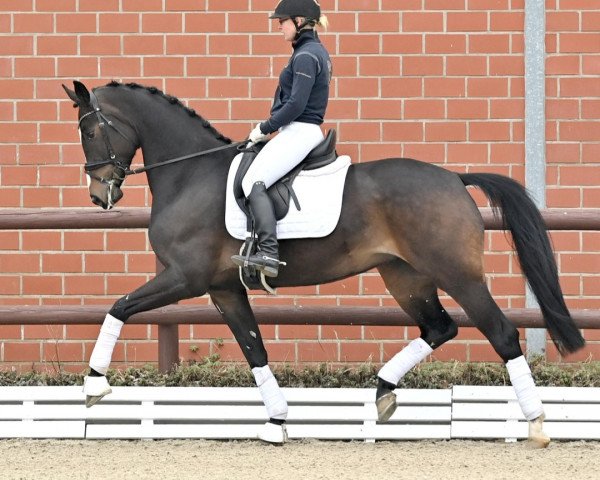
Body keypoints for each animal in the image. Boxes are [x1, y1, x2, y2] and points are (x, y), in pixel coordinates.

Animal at [63, 79, 584, 446]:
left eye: (88, 129)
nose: (99, 195)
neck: (190, 173)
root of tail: (455, 178)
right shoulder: (223, 287)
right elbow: (254, 350)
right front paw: (276, 422)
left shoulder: (184, 279)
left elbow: (119, 307)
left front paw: (93, 386)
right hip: (405, 276)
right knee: (439, 328)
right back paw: (383, 393)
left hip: (458, 275)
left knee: (501, 333)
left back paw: (537, 425)